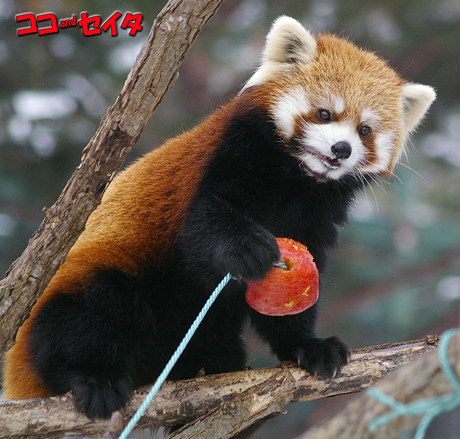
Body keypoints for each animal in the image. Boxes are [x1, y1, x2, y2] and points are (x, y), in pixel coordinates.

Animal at [3, 16, 434, 422]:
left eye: (365, 130)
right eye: (325, 113)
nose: (341, 149)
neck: (296, 181)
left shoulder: (316, 215)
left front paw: (307, 346)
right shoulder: (227, 156)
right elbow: (204, 229)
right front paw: (250, 249)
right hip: (98, 283)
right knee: (94, 310)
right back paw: (92, 378)